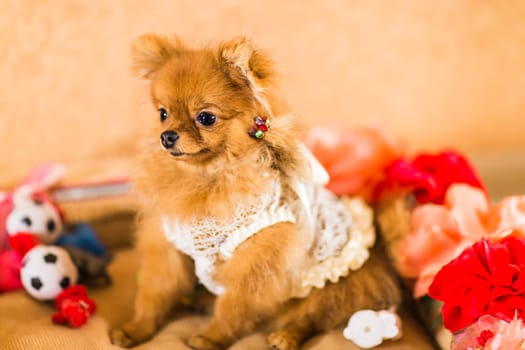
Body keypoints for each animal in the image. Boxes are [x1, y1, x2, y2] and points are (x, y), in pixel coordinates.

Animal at [108, 33, 400, 350]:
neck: (207, 177)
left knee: (311, 315)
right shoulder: (168, 248)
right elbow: (154, 293)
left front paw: (210, 338)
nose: (167, 136)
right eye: (163, 114)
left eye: (206, 118)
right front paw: (136, 329)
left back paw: (286, 336)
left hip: (327, 284)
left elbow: (233, 306)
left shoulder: (256, 262)